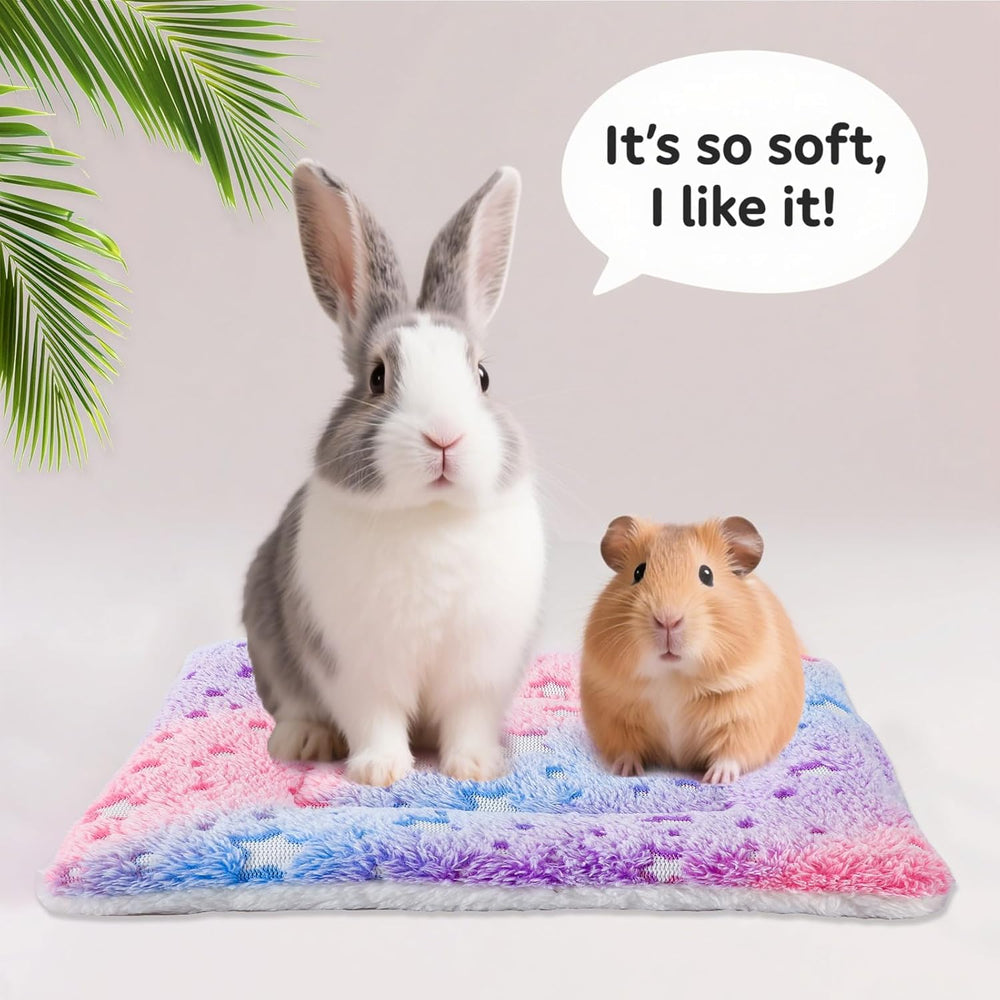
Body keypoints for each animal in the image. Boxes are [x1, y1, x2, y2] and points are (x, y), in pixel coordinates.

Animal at [243, 160, 545, 787]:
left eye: (483, 377)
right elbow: (375, 717)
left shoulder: (479, 669)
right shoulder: (357, 666)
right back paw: (303, 741)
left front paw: (475, 767)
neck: (430, 516)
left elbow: (467, 717)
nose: (444, 436)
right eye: (378, 378)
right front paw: (379, 772)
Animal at [580, 515, 805, 784]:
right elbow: (626, 749)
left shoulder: (747, 713)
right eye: (638, 572)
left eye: (706, 574)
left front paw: (715, 779)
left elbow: (731, 752)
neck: (673, 674)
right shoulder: (612, 714)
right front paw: (625, 771)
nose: (668, 620)